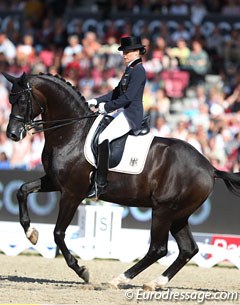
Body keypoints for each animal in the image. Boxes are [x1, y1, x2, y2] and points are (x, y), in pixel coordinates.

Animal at [2, 72, 240, 290]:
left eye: (21, 100)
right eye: (10, 100)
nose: (12, 134)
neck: (72, 132)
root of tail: (209, 168)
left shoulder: (72, 193)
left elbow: (58, 234)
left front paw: (81, 270)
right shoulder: (54, 182)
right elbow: (22, 190)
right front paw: (31, 234)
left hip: (164, 211)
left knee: (158, 248)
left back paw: (120, 279)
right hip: (179, 215)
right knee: (188, 249)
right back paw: (155, 282)